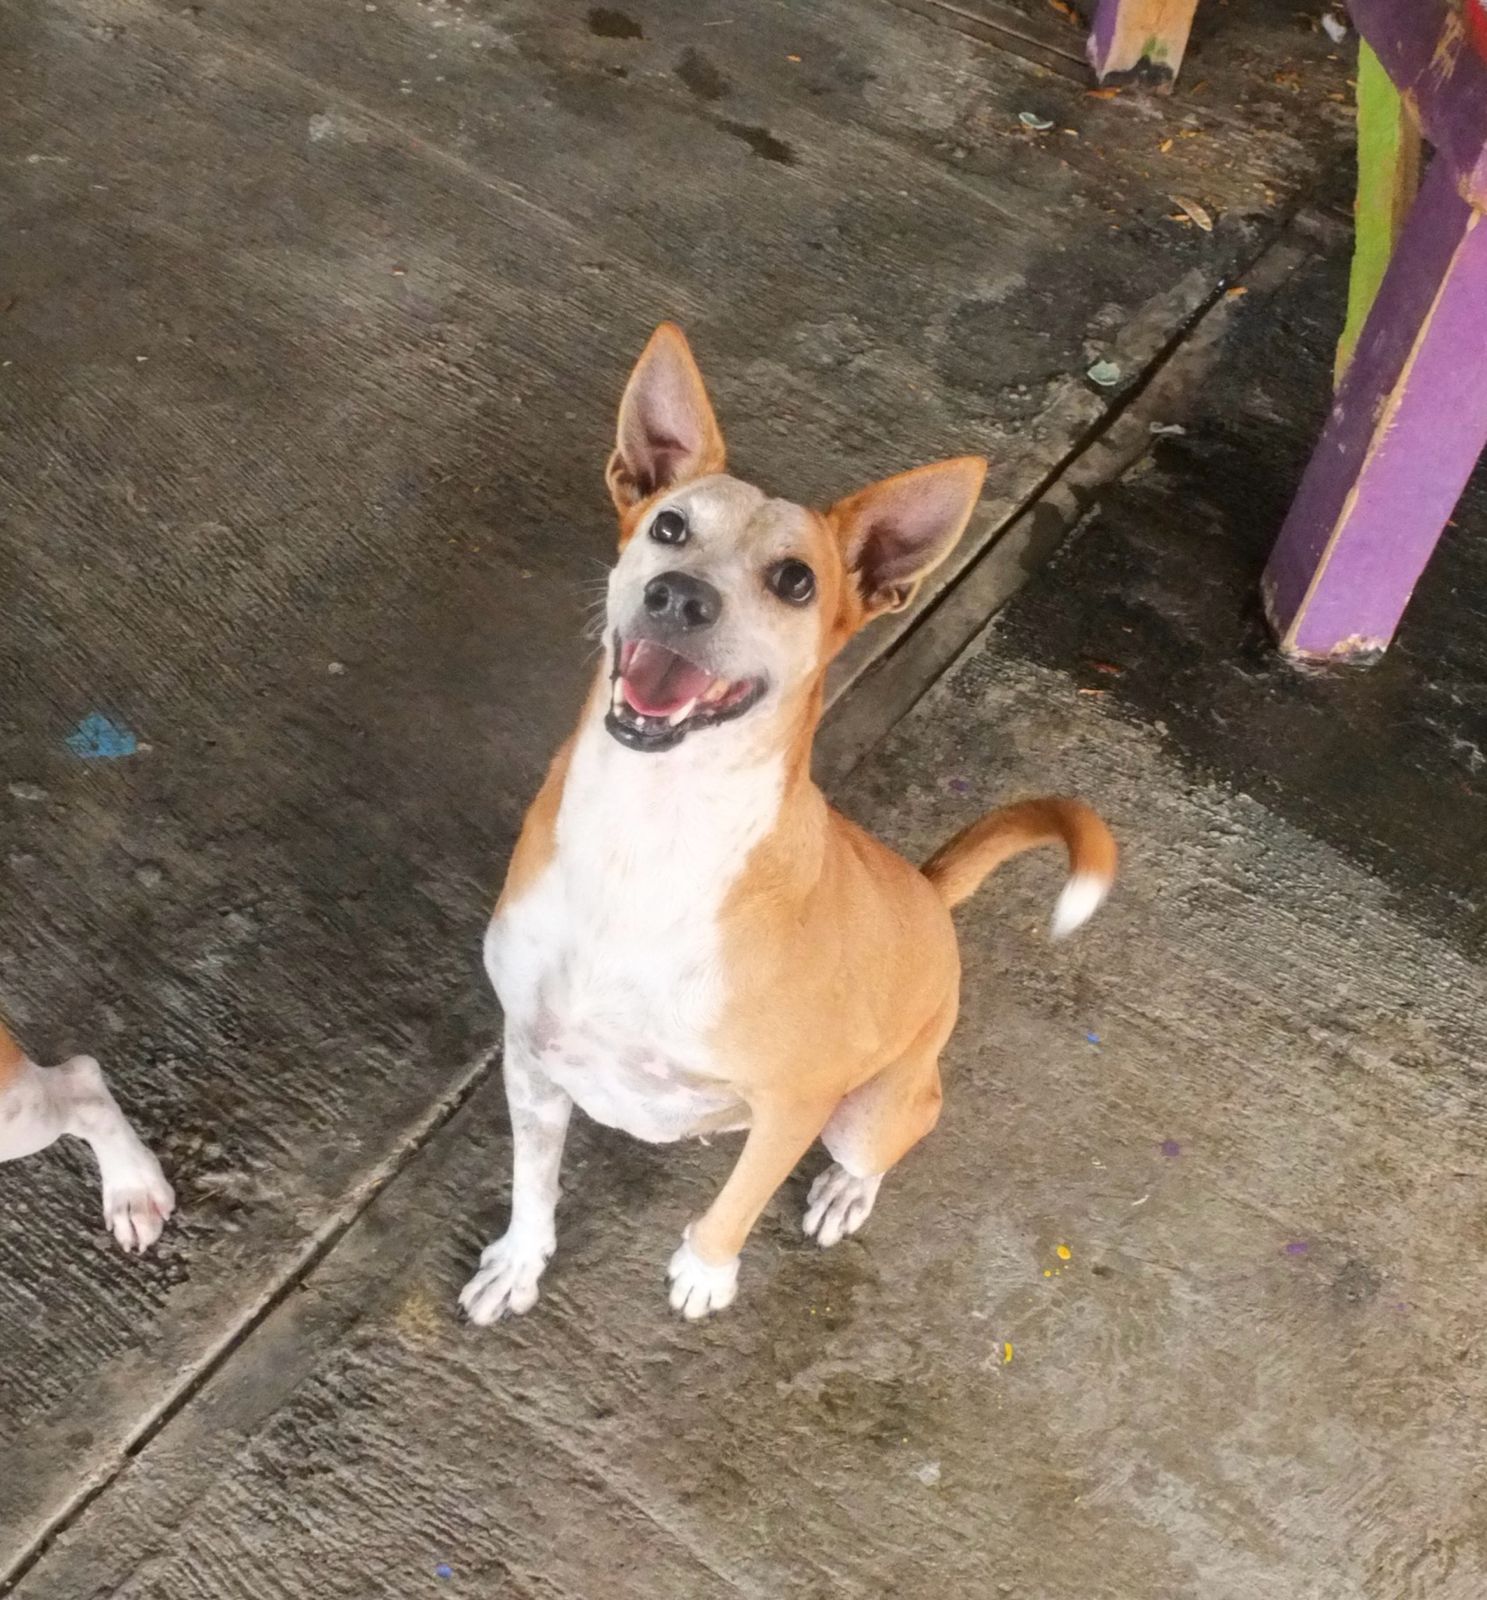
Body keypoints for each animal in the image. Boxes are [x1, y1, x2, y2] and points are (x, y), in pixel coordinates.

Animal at [460, 324, 1116, 1323]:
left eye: (795, 581)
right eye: (670, 527)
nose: (678, 597)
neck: (648, 838)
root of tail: (927, 890)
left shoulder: (794, 1103)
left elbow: (734, 1202)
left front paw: (704, 1272)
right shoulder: (530, 1060)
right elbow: (535, 1183)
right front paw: (518, 1261)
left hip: (871, 1108)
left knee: (894, 1135)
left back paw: (845, 1188)